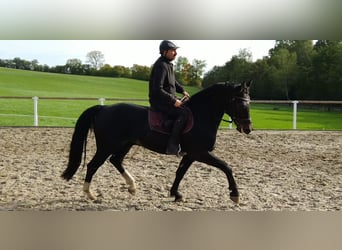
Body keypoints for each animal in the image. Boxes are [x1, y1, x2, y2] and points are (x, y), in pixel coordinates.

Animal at [61, 81, 252, 204]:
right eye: (241, 104)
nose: (248, 128)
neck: (200, 116)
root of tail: (104, 108)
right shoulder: (200, 153)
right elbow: (226, 167)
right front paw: (235, 195)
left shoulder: (191, 155)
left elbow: (180, 173)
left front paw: (176, 194)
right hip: (106, 146)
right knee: (93, 165)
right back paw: (90, 194)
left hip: (125, 144)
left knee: (115, 160)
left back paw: (132, 187)